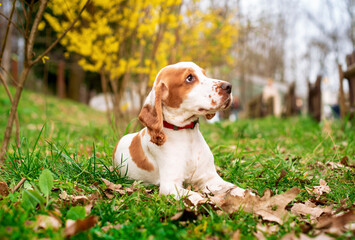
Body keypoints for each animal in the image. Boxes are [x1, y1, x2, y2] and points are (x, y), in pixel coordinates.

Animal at [114, 62, 248, 204]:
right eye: (189, 78)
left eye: (204, 74)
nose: (229, 86)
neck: (187, 135)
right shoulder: (169, 186)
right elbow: (195, 196)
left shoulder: (210, 178)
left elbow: (232, 187)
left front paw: (246, 196)